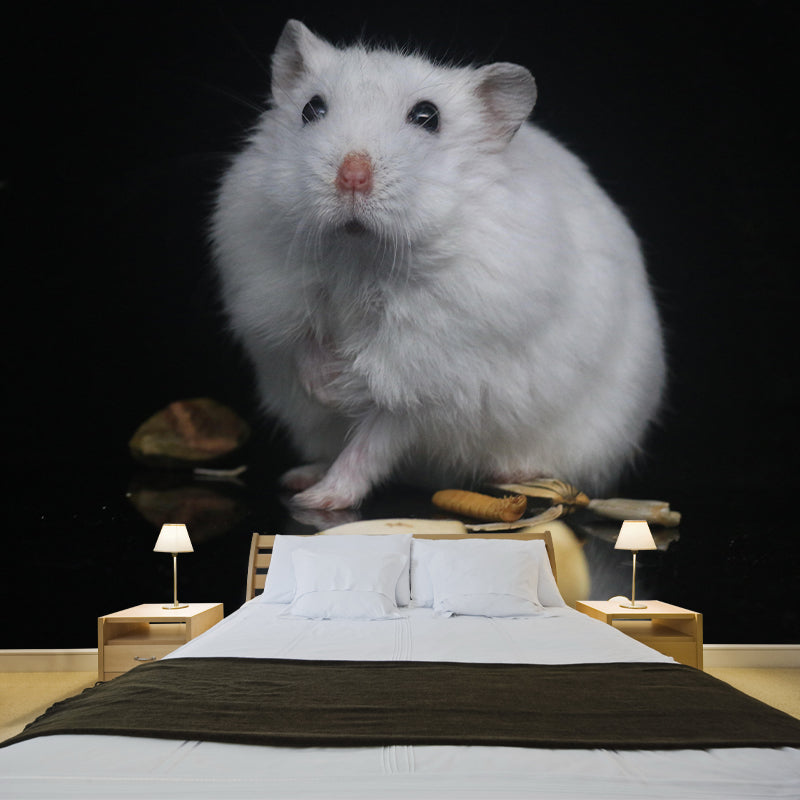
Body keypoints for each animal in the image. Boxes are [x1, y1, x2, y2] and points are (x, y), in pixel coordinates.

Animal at [211, 19, 666, 510]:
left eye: (427, 117)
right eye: (312, 108)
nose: (351, 177)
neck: (360, 255)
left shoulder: (426, 374)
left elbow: (376, 432)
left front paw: (338, 414)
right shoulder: (271, 288)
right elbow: (301, 338)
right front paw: (326, 389)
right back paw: (300, 477)